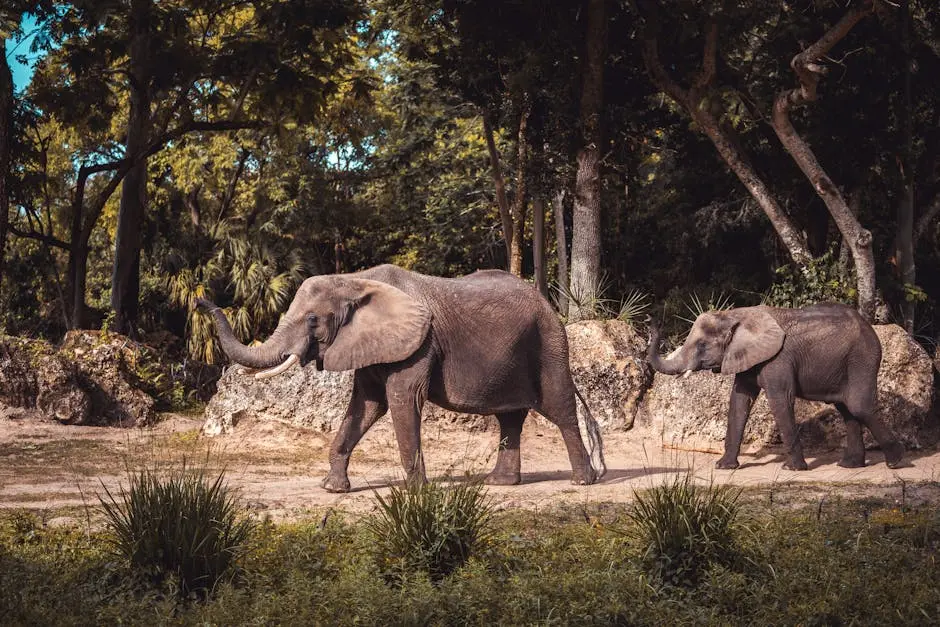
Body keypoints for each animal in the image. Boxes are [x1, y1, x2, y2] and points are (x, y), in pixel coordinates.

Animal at [201, 262, 604, 494]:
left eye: (313, 320)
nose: (202, 300)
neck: (355, 280)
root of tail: (548, 304)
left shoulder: (420, 343)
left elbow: (400, 399)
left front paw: (416, 494)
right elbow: (366, 405)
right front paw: (333, 489)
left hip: (549, 343)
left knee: (559, 407)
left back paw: (583, 480)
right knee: (509, 417)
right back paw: (500, 483)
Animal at [648, 302, 904, 472]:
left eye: (702, 345)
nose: (652, 321)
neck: (734, 315)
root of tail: (870, 327)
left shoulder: (778, 360)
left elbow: (780, 400)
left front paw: (793, 469)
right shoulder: (747, 358)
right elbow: (739, 401)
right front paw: (724, 467)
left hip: (862, 357)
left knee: (859, 406)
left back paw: (895, 462)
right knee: (846, 408)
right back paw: (849, 465)